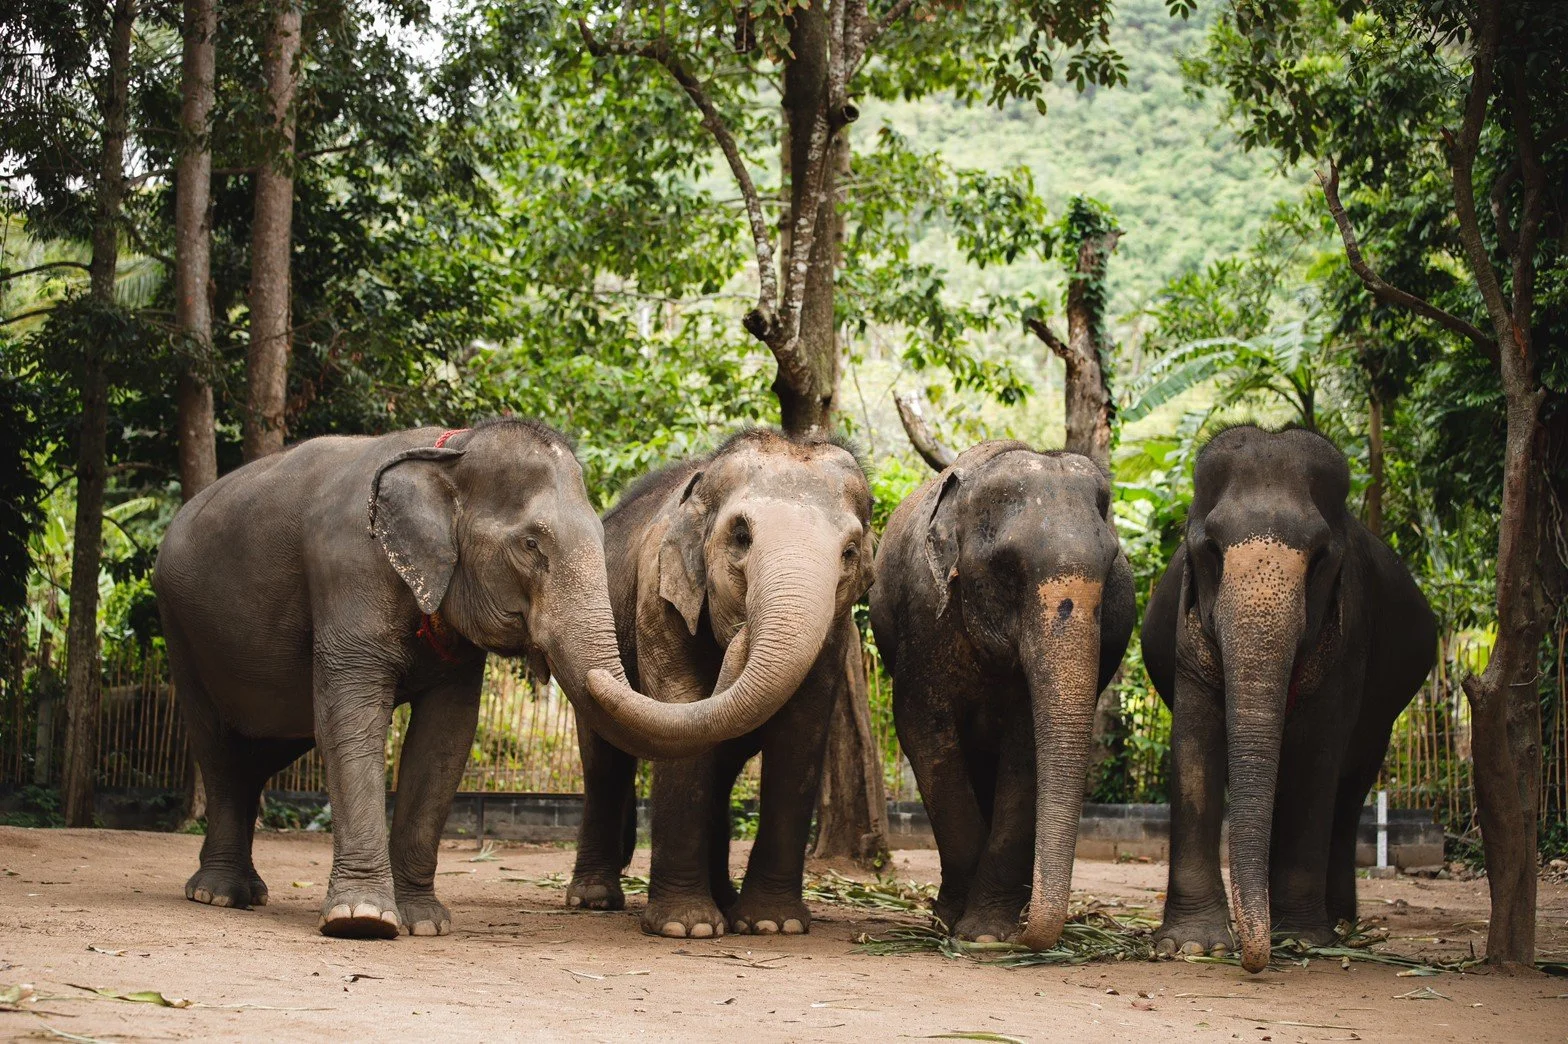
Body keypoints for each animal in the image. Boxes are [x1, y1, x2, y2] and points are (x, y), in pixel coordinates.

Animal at [153, 419, 776, 939]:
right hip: (180, 627)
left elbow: (446, 739)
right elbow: (352, 720)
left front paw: (424, 923)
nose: (738, 633)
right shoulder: (347, 570)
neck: (447, 453)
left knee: (262, 751)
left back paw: (245, 891)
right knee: (218, 747)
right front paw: (362, 921)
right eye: (530, 545)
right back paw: (220, 895)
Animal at [567, 428, 873, 939]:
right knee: (604, 763)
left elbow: (800, 733)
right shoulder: (658, 593)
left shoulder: (836, 630)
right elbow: (681, 702)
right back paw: (593, 900)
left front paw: (773, 924)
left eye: (849, 553)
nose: (743, 635)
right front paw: (685, 927)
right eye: (742, 536)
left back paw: (727, 902)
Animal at [868, 440, 1135, 949]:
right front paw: (954, 923)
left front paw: (989, 932)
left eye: (1112, 567)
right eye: (1008, 568)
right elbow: (923, 732)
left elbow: (1027, 747)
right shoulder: (926, 619)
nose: (1027, 939)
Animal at [1140, 424, 1436, 972]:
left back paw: (1338, 923)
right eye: (1210, 549)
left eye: (1320, 557)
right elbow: (1194, 748)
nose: (1251, 958)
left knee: (1350, 786)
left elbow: (1316, 758)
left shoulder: (1349, 639)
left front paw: (1299, 939)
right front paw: (1193, 946)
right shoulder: (1185, 639)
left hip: (1384, 715)